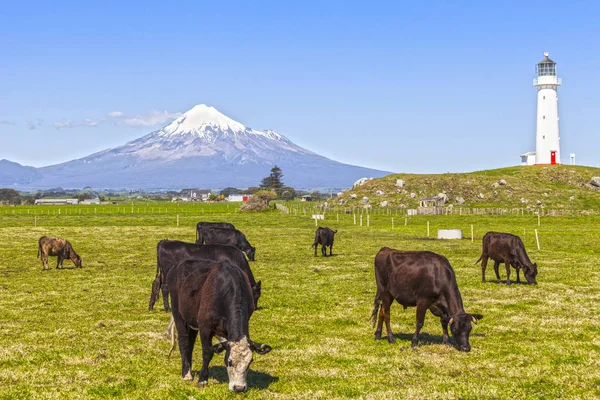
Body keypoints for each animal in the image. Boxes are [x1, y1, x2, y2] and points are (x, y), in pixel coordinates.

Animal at [168, 258, 274, 392]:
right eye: (230, 362)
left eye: (250, 362)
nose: (239, 388)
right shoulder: (205, 327)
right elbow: (207, 353)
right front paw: (202, 380)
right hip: (178, 314)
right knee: (184, 341)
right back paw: (186, 374)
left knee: (190, 343)